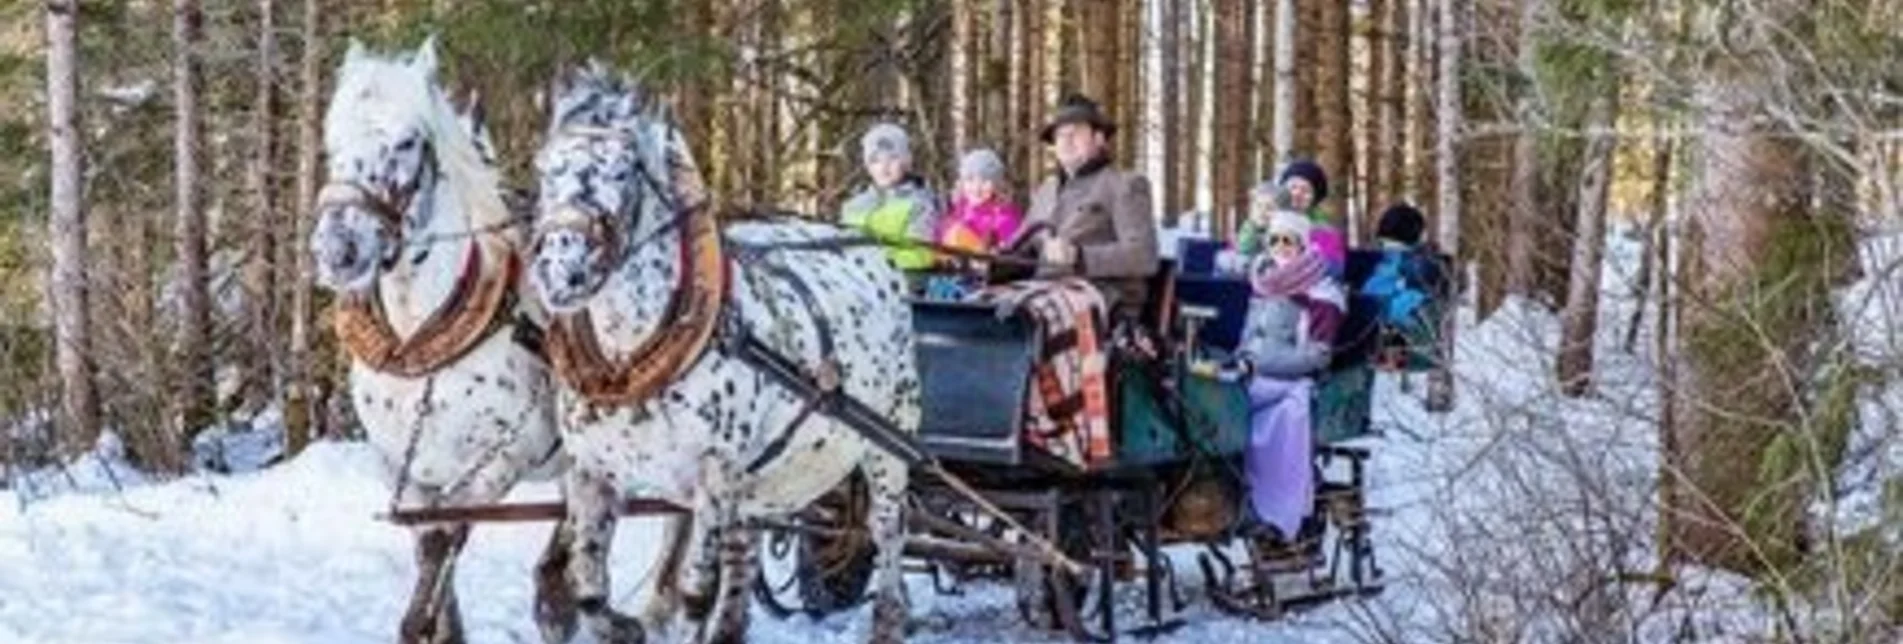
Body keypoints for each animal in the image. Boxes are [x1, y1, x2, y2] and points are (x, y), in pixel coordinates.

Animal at [306, 37, 578, 640]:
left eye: (408, 142)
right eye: (333, 140)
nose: (338, 251)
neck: (420, 343)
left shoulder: (496, 466)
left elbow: (446, 542)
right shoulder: (403, 469)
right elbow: (428, 546)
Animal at [529, 61, 921, 644]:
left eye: (623, 171)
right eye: (544, 168)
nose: (560, 267)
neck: (632, 362)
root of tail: (872, 249)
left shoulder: (712, 477)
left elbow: (693, 594)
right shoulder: (592, 474)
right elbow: (590, 592)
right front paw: (623, 625)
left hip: (889, 445)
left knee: (889, 532)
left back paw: (890, 617)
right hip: (759, 479)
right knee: (746, 550)